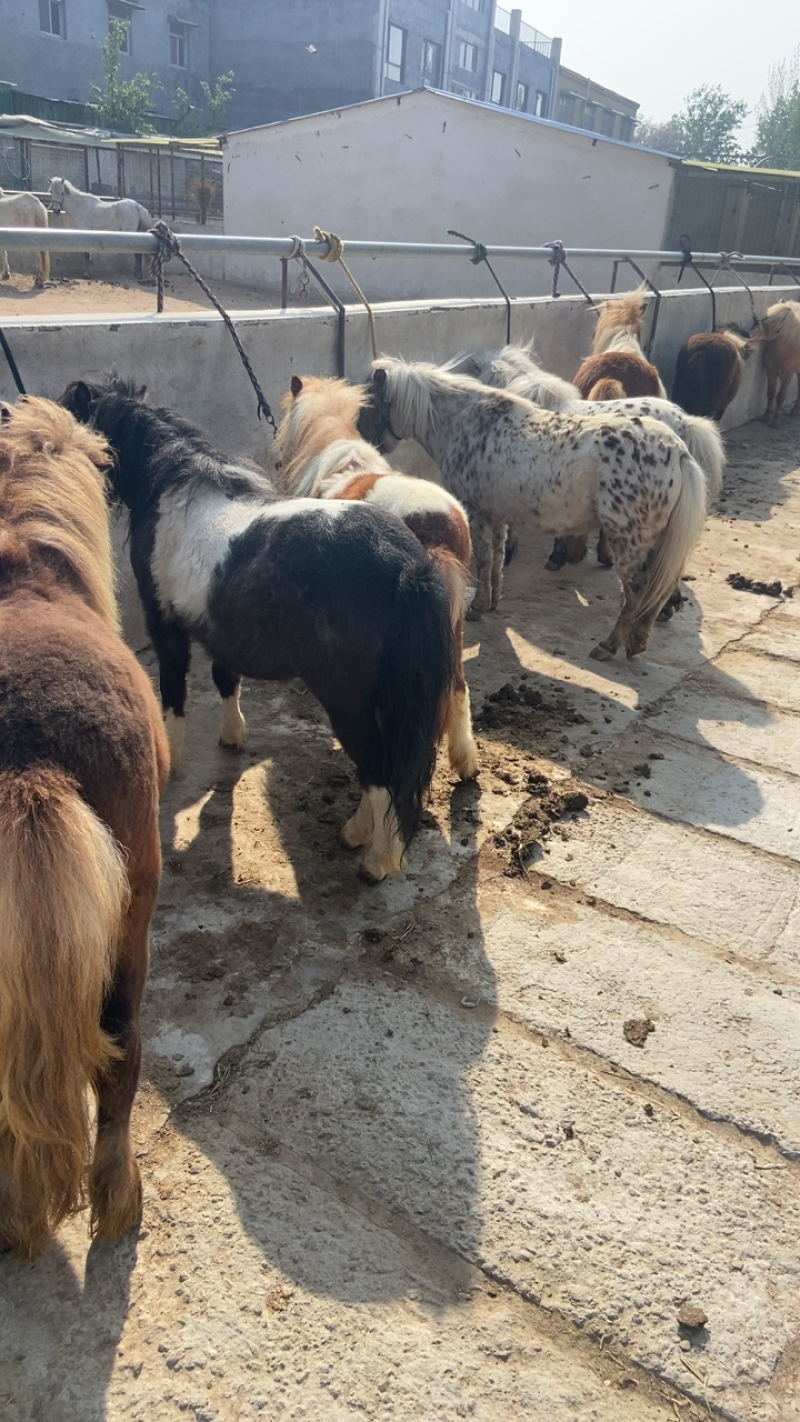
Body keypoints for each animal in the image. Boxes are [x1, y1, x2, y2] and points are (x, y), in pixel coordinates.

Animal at [60, 377, 456, 884]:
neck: (173, 488)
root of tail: (407, 565)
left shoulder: (167, 628)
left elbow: (173, 693)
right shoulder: (221, 632)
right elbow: (225, 678)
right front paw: (233, 737)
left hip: (348, 701)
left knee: (379, 770)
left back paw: (376, 860)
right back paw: (357, 833)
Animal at [365, 358, 708, 662]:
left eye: (370, 403)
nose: (370, 444)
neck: (466, 423)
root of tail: (677, 450)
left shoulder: (478, 514)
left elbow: (483, 560)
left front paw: (478, 606)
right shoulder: (498, 516)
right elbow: (497, 559)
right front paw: (493, 601)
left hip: (630, 542)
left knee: (637, 594)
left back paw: (609, 646)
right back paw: (638, 640)